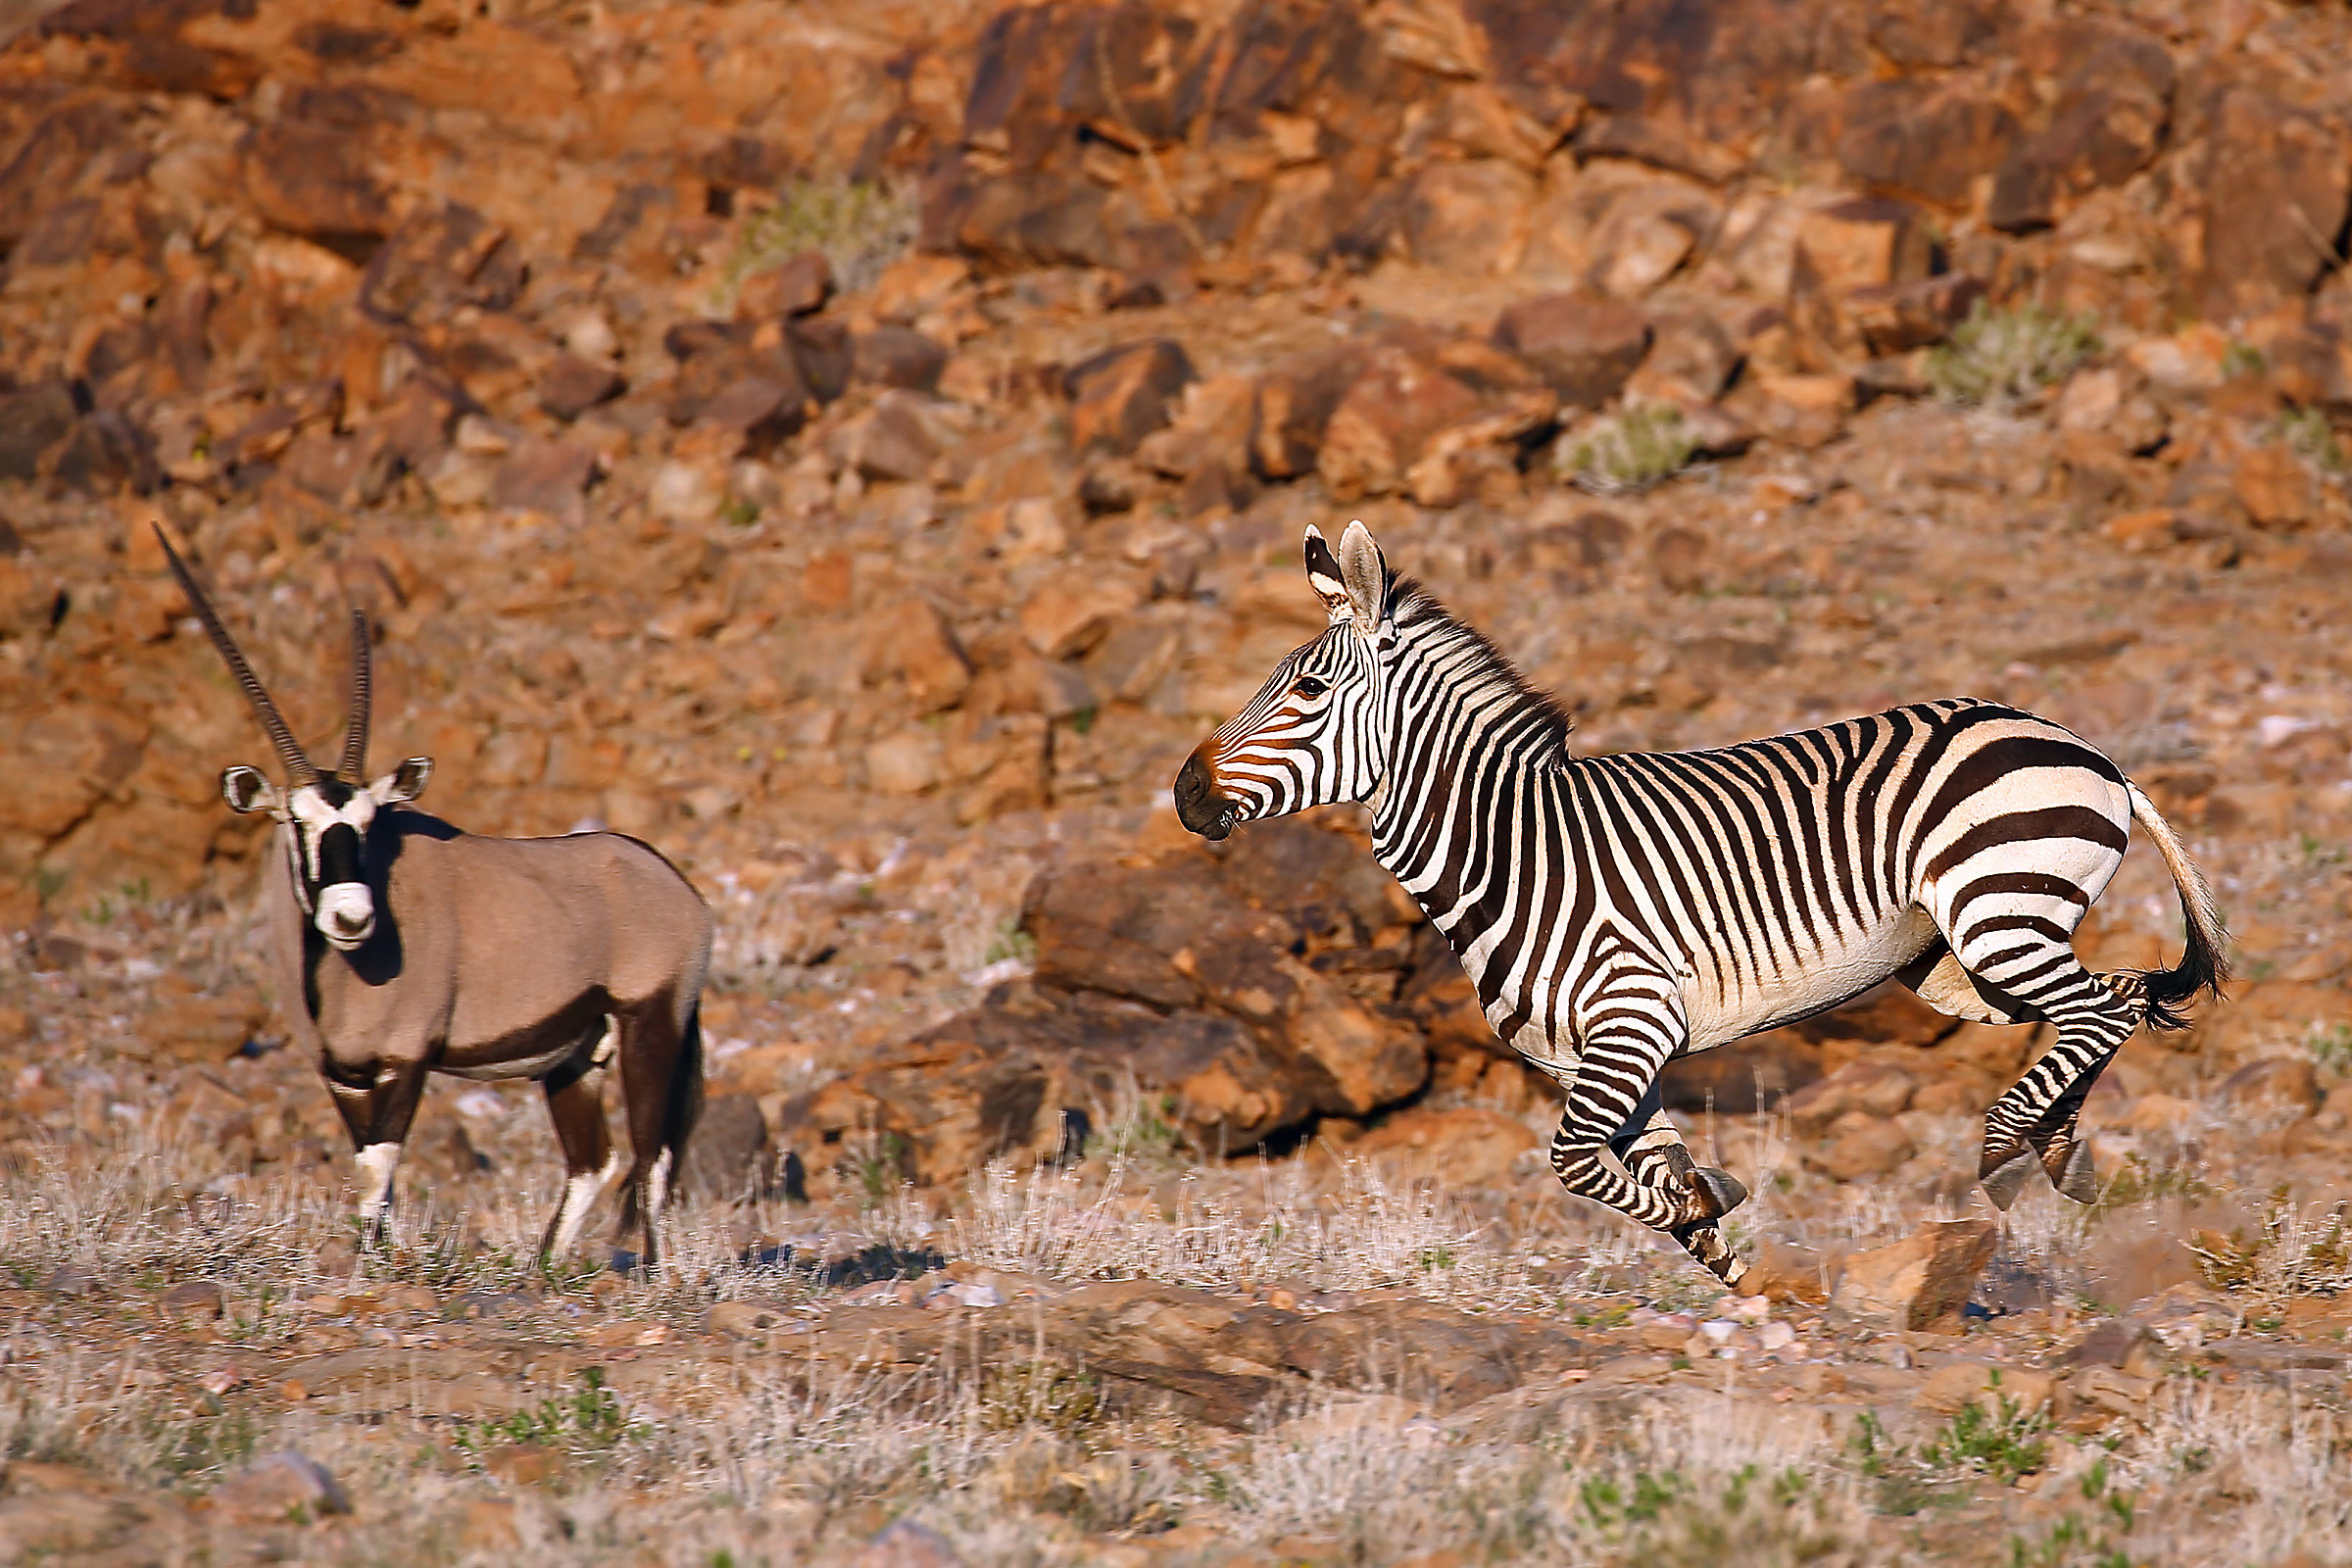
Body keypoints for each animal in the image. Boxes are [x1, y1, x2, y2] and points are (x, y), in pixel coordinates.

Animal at [1173, 520, 2227, 1287]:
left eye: (1310, 689)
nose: (1185, 793)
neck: (1511, 852)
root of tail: (2088, 751)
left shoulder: (1633, 1016)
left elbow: (1575, 1162)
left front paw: (1703, 1204)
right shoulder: (1597, 1054)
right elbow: (1632, 1168)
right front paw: (1715, 1234)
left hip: (1998, 911)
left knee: (2099, 1010)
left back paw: (2011, 1150)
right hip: (1958, 960)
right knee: (2120, 999)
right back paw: (2061, 1153)